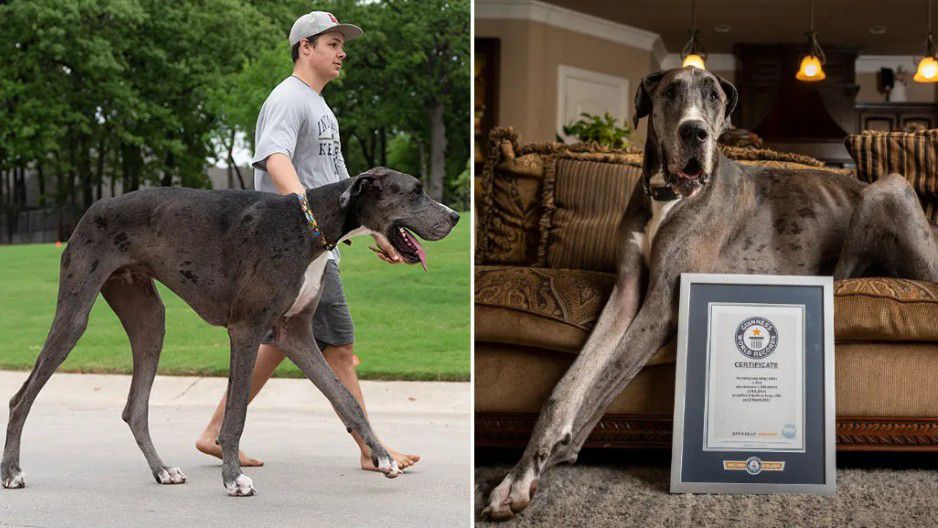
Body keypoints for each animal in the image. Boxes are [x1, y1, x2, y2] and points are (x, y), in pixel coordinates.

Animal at [0, 168, 458, 496]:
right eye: (415, 191)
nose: (454, 216)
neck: (311, 227)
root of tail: (94, 207)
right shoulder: (247, 330)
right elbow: (236, 412)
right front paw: (233, 478)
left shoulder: (295, 335)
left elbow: (346, 399)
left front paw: (383, 459)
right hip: (75, 314)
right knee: (22, 396)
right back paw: (12, 472)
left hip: (150, 320)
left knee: (135, 407)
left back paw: (162, 470)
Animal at [482, 67, 936, 520]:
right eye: (669, 92)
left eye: (714, 96)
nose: (695, 131)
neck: (667, 197)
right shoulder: (625, 293)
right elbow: (569, 386)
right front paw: (520, 471)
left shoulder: (662, 305)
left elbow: (602, 381)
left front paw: (553, 456)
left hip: (889, 186)